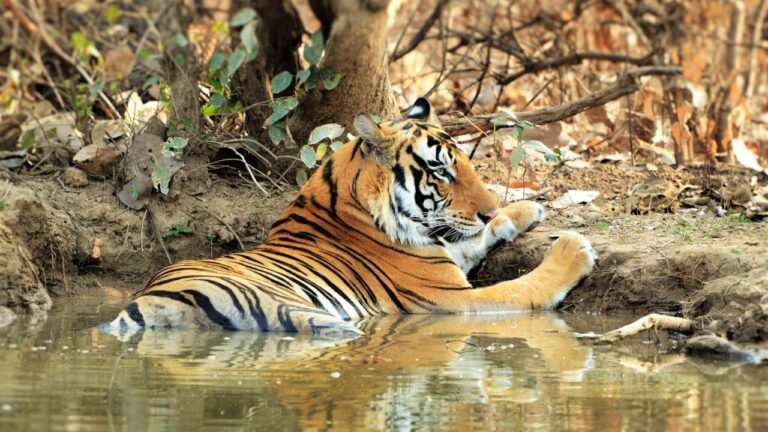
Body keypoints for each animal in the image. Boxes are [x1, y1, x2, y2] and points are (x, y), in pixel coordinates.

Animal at [102, 98, 597, 337]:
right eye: (440, 171)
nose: (489, 206)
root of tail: (147, 302)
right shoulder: (449, 298)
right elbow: (524, 287)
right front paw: (573, 249)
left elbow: (471, 236)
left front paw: (523, 209)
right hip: (311, 316)